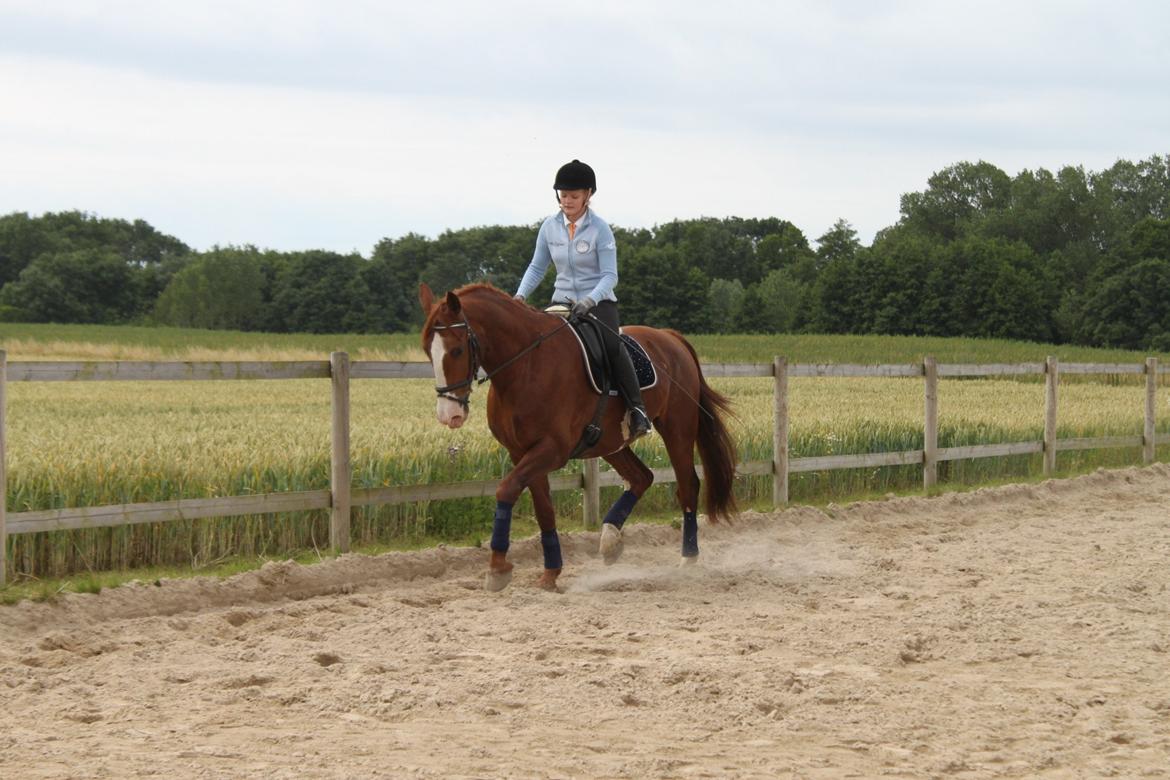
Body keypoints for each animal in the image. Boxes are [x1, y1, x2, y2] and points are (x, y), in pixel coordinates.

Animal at [416, 280, 734, 591]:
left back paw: (688, 557)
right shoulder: (522, 452)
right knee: (642, 477)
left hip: (677, 429)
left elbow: (506, 489)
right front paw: (550, 573)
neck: (526, 366)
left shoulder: (552, 450)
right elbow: (543, 508)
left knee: (687, 485)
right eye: (427, 351)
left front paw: (497, 568)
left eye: (457, 350)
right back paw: (610, 541)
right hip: (610, 442)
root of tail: (670, 337)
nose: (449, 415)